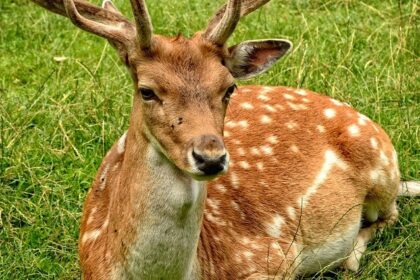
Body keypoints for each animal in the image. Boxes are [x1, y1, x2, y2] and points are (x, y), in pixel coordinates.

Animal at [30, 0, 420, 278]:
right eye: (147, 90)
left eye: (228, 88)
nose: (210, 157)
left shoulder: (271, 258)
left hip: (380, 163)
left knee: (390, 213)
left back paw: (351, 255)